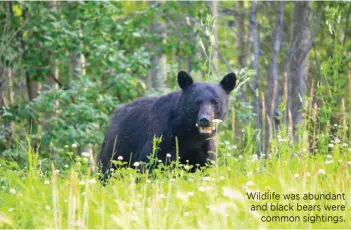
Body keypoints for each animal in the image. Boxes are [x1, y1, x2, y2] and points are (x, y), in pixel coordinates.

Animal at [97, 71, 238, 175]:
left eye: (215, 102)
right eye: (197, 102)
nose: (204, 120)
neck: (190, 134)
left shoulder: (204, 149)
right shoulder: (162, 138)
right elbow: (149, 165)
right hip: (117, 148)